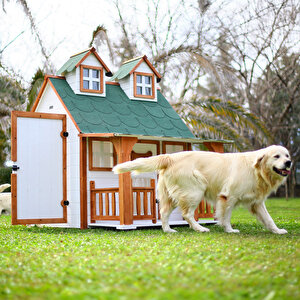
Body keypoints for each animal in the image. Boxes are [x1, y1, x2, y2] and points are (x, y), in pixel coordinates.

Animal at [112, 145, 290, 234]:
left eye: (287, 155)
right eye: (276, 156)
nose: (289, 163)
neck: (256, 169)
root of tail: (170, 157)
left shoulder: (257, 203)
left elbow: (268, 219)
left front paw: (277, 230)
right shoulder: (228, 197)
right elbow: (225, 217)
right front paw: (230, 230)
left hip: (171, 196)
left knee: (164, 213)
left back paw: (168, 230)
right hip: (195, 191)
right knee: (187, 214)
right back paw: (200, 228)